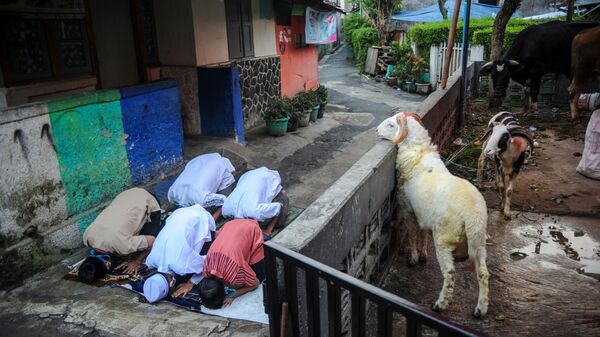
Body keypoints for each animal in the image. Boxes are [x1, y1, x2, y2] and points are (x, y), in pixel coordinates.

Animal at [378, 111, 490, 316]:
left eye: (391, 124)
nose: (375, 130)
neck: (419, 154)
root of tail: (472, 215)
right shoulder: (424, 214)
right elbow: (423, 233)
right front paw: (423, 254)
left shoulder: (408, 209)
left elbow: (413, 234)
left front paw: (414, 258)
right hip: (479, 243)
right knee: (483, 273)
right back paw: (480, 308)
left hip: (445, 238)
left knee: (450, 273)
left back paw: (440, 304)